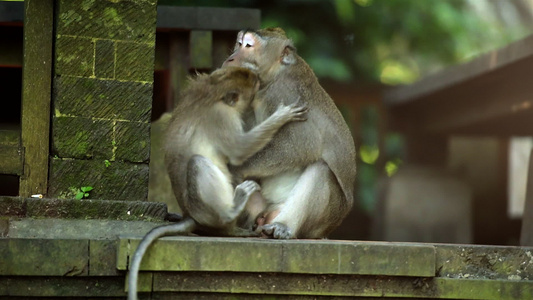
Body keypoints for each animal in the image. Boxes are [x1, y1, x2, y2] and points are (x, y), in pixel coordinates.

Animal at [128, 67, 308, 300]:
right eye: (254, 85)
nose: (259, 81)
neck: (215, 91)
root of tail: (191, 215)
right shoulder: (223, 117)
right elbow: (239, 150)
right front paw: (282, 116)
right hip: (206, 208)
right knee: (198, 163)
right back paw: (231, 211)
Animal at [222, 28, 356, 239]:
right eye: (239, 43)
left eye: (249, 46)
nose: (231, 58)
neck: (274, 76)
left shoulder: (283, 96)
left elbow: (301, 145)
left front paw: (237, 168)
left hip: (323, 219)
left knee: (321, 170)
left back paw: (283, 226)